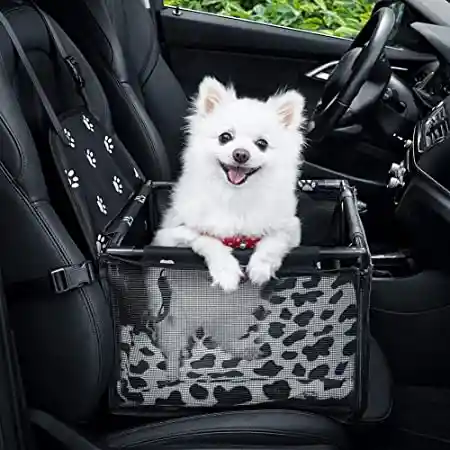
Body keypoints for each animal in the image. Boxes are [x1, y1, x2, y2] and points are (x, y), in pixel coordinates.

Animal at [151, 77, 306, 380]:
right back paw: (172, 373)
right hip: (171, 319)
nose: (241, 154)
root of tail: (204, 319)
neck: (235, 198)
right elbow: (207, 239)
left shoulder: (291, 229)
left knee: (223, 339)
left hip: (235, 318)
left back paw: (244, 351)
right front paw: (226, 271)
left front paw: (260, 266)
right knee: (173, 347)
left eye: (262, 144)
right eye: (225, 137)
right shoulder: (170, 236)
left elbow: (274, 239)